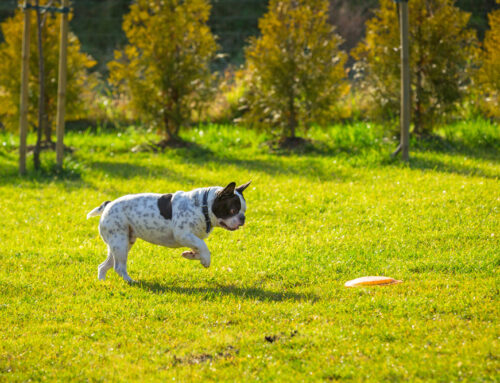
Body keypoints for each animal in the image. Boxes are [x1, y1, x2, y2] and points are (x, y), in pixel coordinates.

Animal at [87, 182, 250, 284]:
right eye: (233, 210)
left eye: (244, 210)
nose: (243, 218)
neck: (203, 206)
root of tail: (108, 205)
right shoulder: (183, 235)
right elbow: (203, 246)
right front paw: (205, 260)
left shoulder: (191, 238)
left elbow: (198, 248)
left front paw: (191, 255)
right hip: (120, 243)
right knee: (119, 267)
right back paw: (131, 281)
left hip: (122, 243)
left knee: (104, 265)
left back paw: (102, 282)